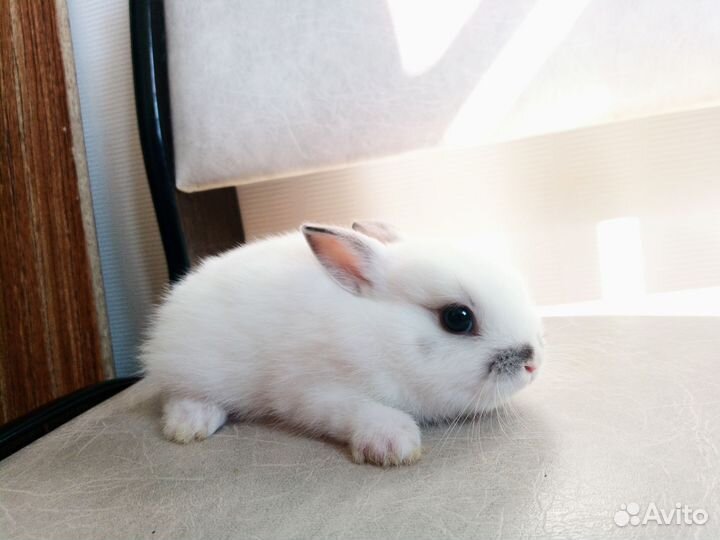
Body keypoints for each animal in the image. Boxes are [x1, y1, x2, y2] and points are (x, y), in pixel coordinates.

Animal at [140, 221, 544, 466]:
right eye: (457, 318)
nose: (533, 363)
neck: (382, 334)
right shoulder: (313, 392)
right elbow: (359, 412)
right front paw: (395, 445)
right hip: (196, 368)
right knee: (177, 395)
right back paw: (191, 423)